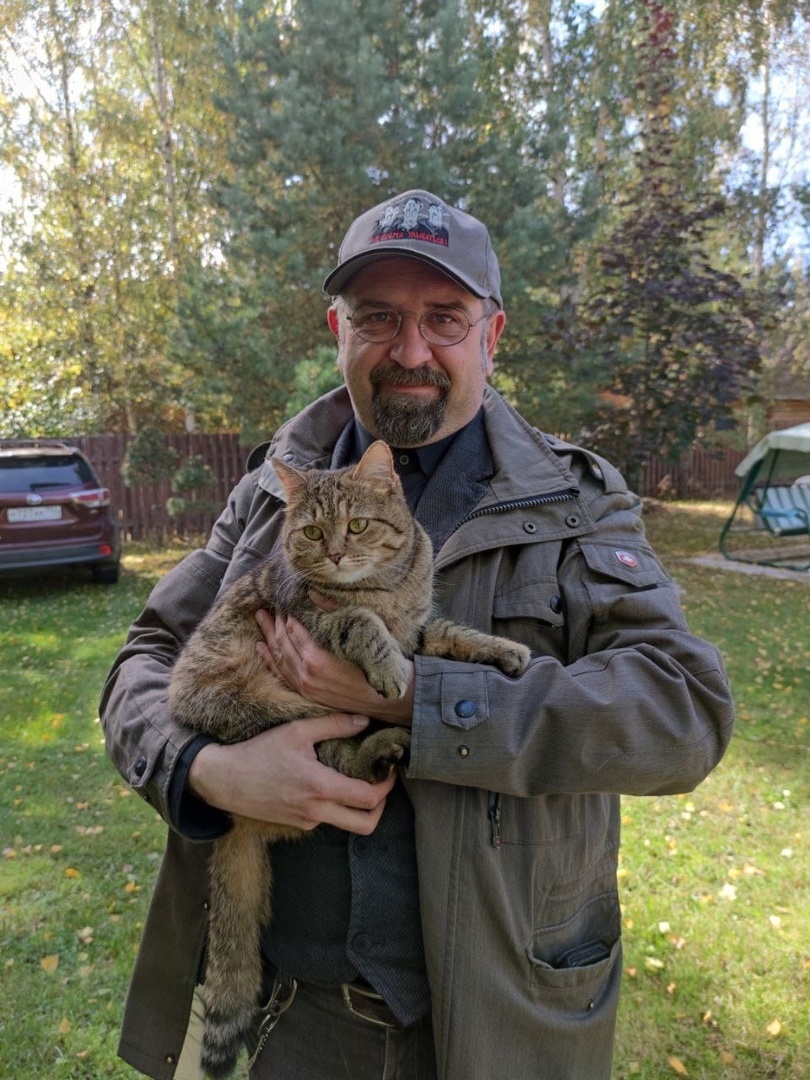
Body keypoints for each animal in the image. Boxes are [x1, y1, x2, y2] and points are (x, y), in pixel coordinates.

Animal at [167, 440, 533, 1080]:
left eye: (357, 525)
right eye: (312, 532)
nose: (336, 554)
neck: (383, 587)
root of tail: (235, 821)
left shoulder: (419, 628)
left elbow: (451, 634)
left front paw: (500, 648)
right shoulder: (313, 619)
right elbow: (358, 622)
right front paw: (385, 665)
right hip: (270, 712)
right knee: (336, 756)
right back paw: (381, 748)